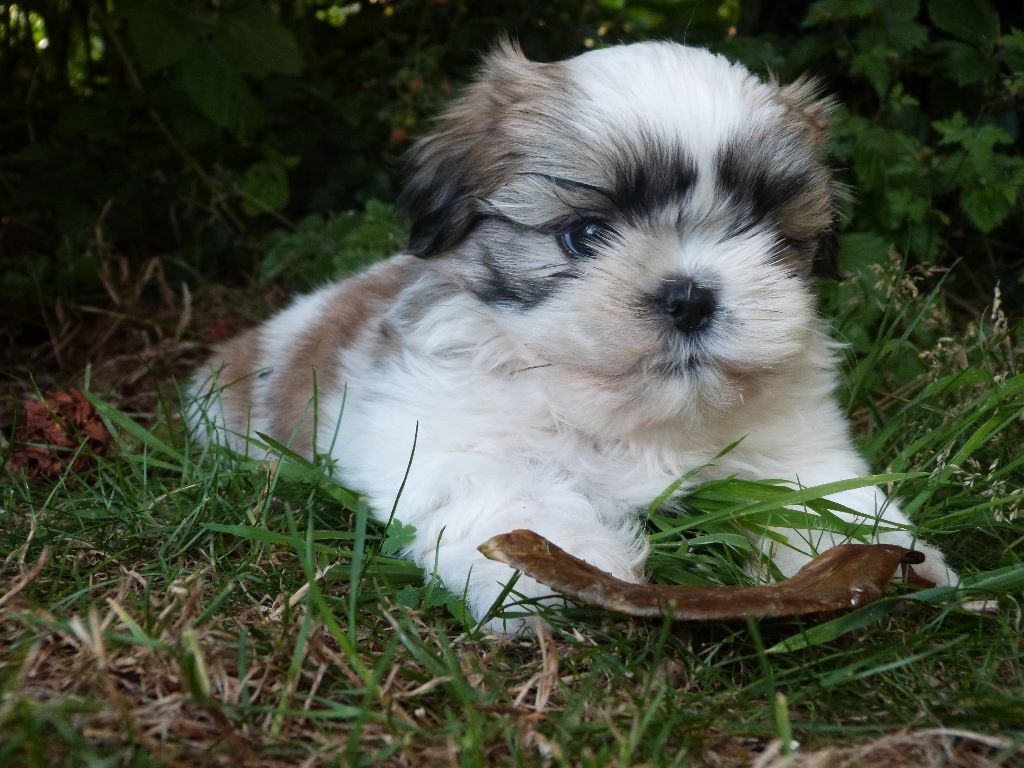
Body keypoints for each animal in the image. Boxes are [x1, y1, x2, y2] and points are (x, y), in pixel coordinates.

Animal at [188, 40, 956, 633]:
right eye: (585, 235)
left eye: (767, 234)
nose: (690, 297)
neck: (630, 416)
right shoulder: (437, 434)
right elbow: (511, 493)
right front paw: (552, 572)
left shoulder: (793, 443)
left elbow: (823, 493)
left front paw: (881, 555)